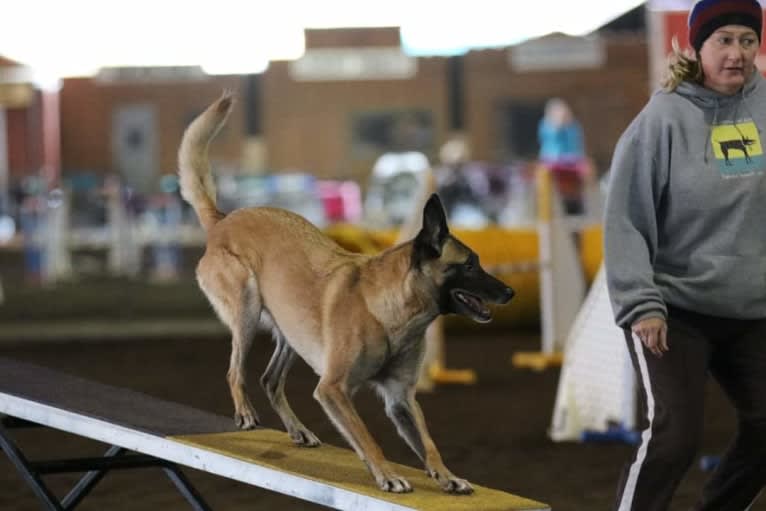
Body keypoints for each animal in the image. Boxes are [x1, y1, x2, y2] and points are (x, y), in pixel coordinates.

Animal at [180, 93, 516, 496]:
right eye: (469, 265)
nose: (511, 291)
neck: (392, 314)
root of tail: (222, 220)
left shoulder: (401, 398)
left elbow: (428, 443)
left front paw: (447, 476)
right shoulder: (333, 390)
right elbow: (367, 437)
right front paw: (388, 475)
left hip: (291, 334)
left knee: (270, 380)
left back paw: (298, 430)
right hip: (246, 312)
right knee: (235, 371)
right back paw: (244, 412)